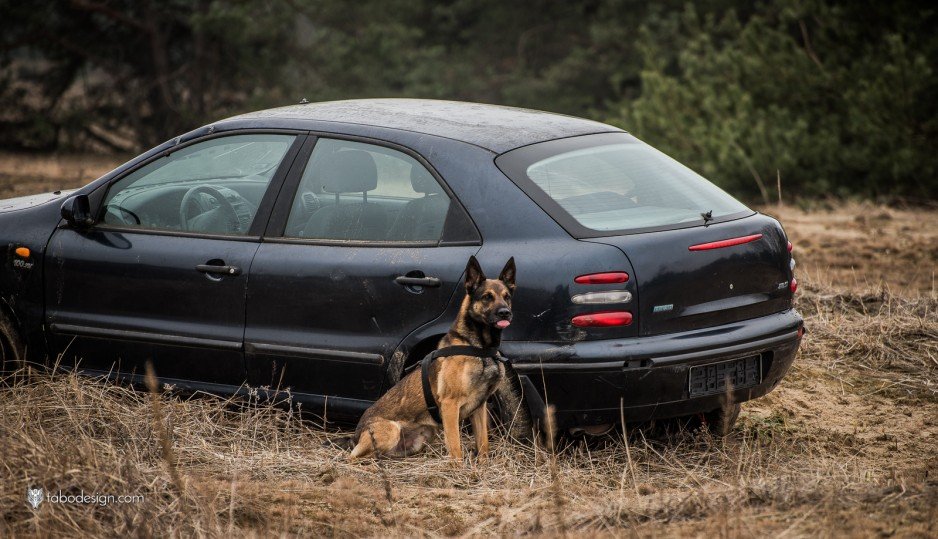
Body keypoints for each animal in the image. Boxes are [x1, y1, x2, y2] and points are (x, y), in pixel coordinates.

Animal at [348, 255, 516, 462]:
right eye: (487, 297)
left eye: (507, 297)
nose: (505, 313)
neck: (480, 348)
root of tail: (357, 433)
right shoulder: (450, 405)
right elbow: (456, 449)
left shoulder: (480, 408)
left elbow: (483, 445)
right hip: (391, 431)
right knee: (354, 457)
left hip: (418, 441)